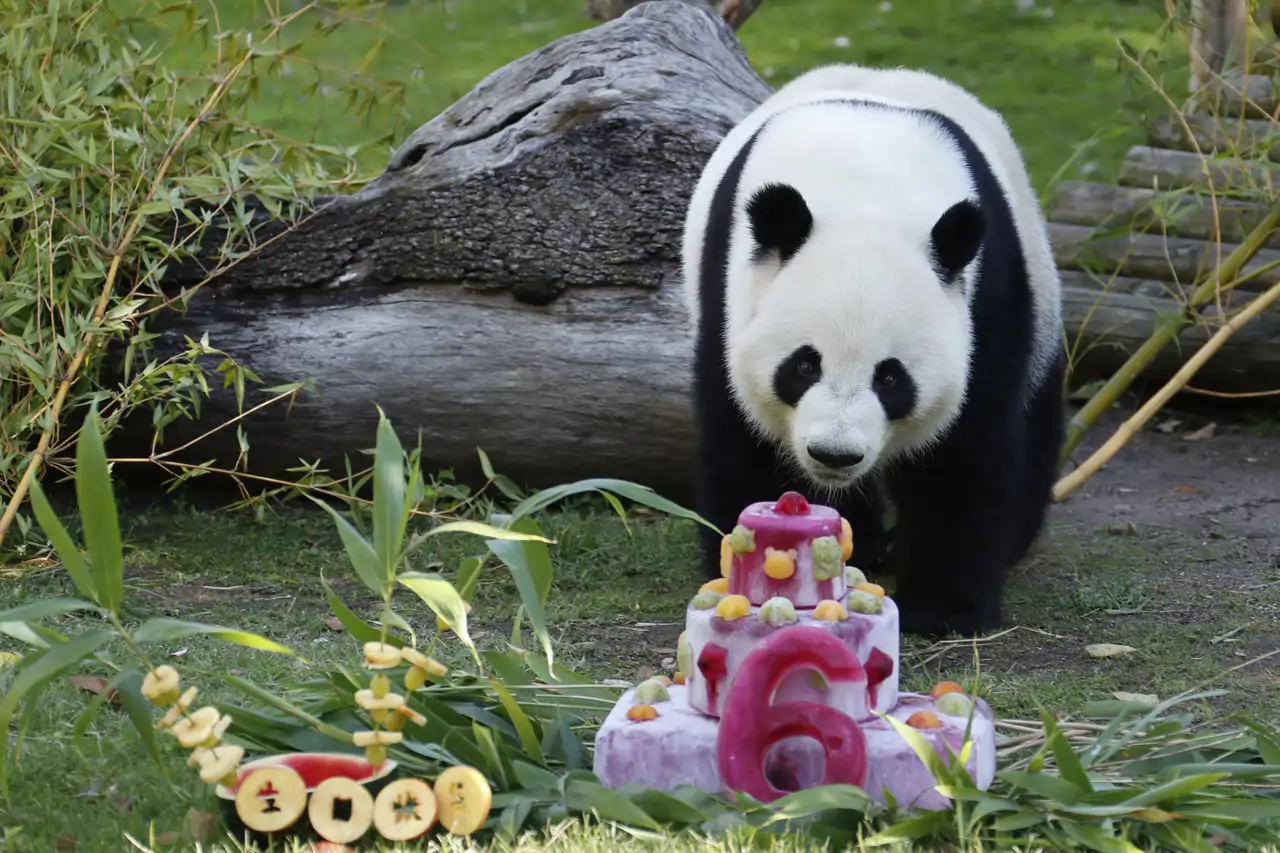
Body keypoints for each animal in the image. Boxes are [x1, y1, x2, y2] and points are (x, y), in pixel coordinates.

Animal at [680, 63, 1066, 638]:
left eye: (890, 377)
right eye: (803, 365)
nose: (834, 454)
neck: (864, 194)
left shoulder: (987, 299)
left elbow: (964, 451)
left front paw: (945, 608)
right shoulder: (730, 297)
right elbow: (743, 440)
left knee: (1037, 411)